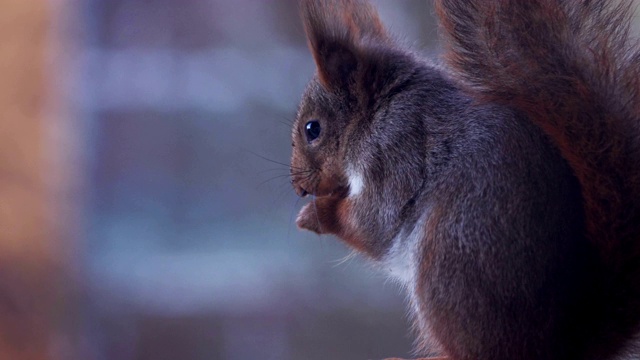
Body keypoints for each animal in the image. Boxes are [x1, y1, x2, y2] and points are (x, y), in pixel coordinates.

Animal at [288, 0, 640, 360]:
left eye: (312, 129)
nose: (299, 188)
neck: (377, 111)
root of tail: (561, 344)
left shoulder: (396, 151)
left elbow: (374, 222)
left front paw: (315, 214)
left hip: (447, 264)